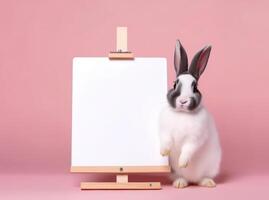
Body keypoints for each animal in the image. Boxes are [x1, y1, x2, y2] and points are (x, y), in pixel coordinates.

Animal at [158, 39, 221, 188]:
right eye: (174, 84)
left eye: (195, 87)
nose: (183, 101)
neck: (182, 114)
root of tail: (192, 179)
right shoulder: (165, 132)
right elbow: (166, 141)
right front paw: (163, 152)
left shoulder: (195, 138)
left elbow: (188, 149)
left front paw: (182, 162)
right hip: (174, 171)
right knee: (181, 177)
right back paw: (180, 183)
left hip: (211, 166)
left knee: (202, 178)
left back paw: (208, 182)